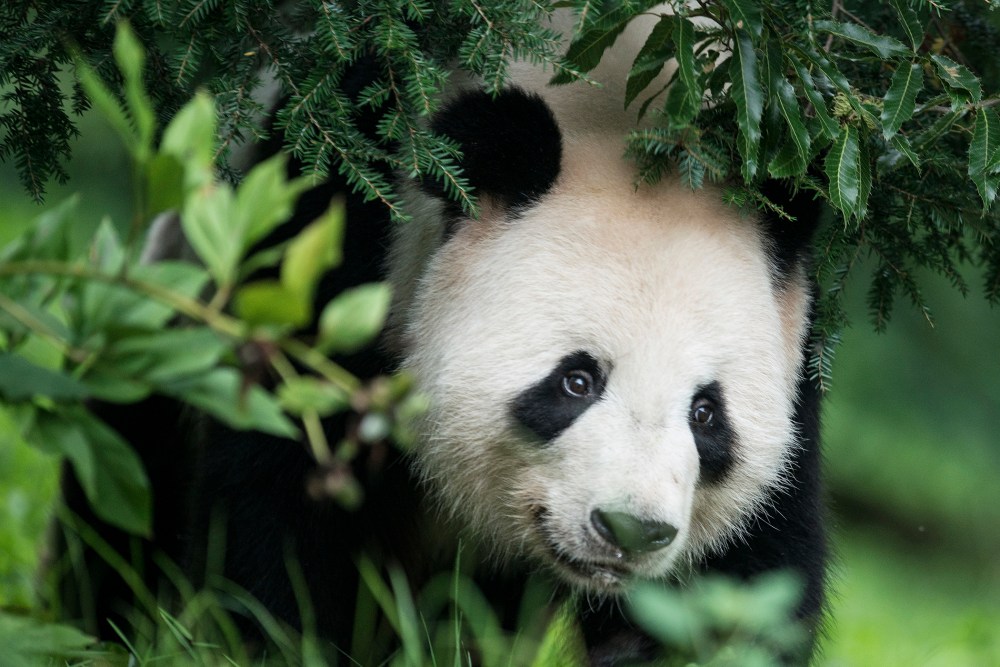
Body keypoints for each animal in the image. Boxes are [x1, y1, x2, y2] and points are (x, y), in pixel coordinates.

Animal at [57, 7, 826, 666]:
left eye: (706, 413)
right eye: (576, 380)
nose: (631, 529)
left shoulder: (799, 352)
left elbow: (749, 578)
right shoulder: (346, 229)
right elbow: (279, 496)